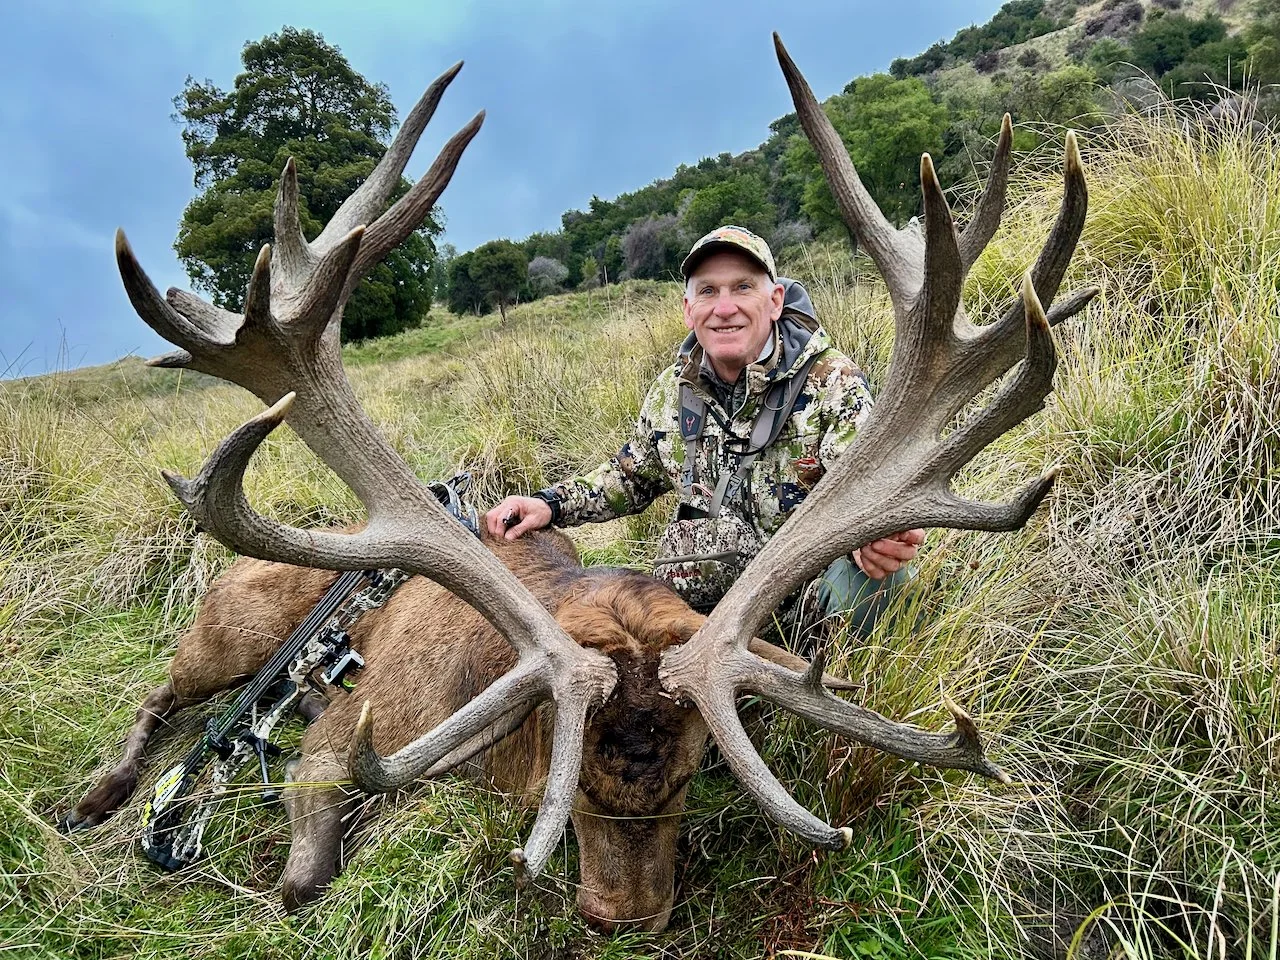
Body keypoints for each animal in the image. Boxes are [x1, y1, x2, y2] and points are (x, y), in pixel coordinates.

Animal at [62, 36, 1094, 933]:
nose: (620, 919)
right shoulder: (352, 732)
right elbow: (303, 879)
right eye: (575, 789)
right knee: (168, 693)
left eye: (691, 776)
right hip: (229, 623)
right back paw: (97, 797)